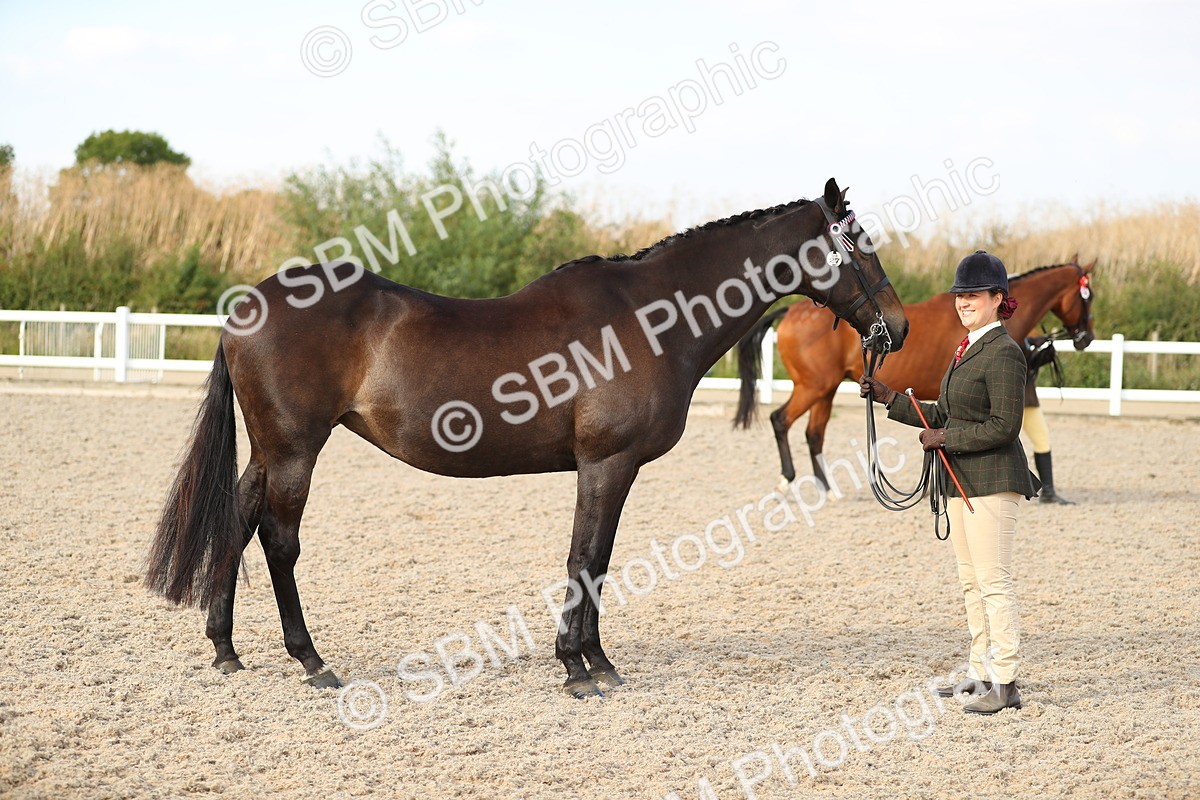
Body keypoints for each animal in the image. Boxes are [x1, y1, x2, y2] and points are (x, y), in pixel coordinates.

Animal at [144, 178, 909, 699]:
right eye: (860, 246)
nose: (897, 329)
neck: (648, 317)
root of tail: (247, 307)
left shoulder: (606, 468)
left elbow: (594, 559)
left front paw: (591, 660)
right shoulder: (607, 463)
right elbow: (588, 557)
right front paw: (581, 667)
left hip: (270, 450)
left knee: (237, 519)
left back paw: (226, 649)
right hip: (296, 449)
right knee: (279, 540)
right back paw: (311, 660)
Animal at [734, 257, 1096, 489]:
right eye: (1087, 297)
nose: (1086, 337)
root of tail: (790, 311)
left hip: (826, 389)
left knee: (814, 434)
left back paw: (826, 488)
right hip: (813, 386)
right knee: (781, 420)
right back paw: (790, 480)